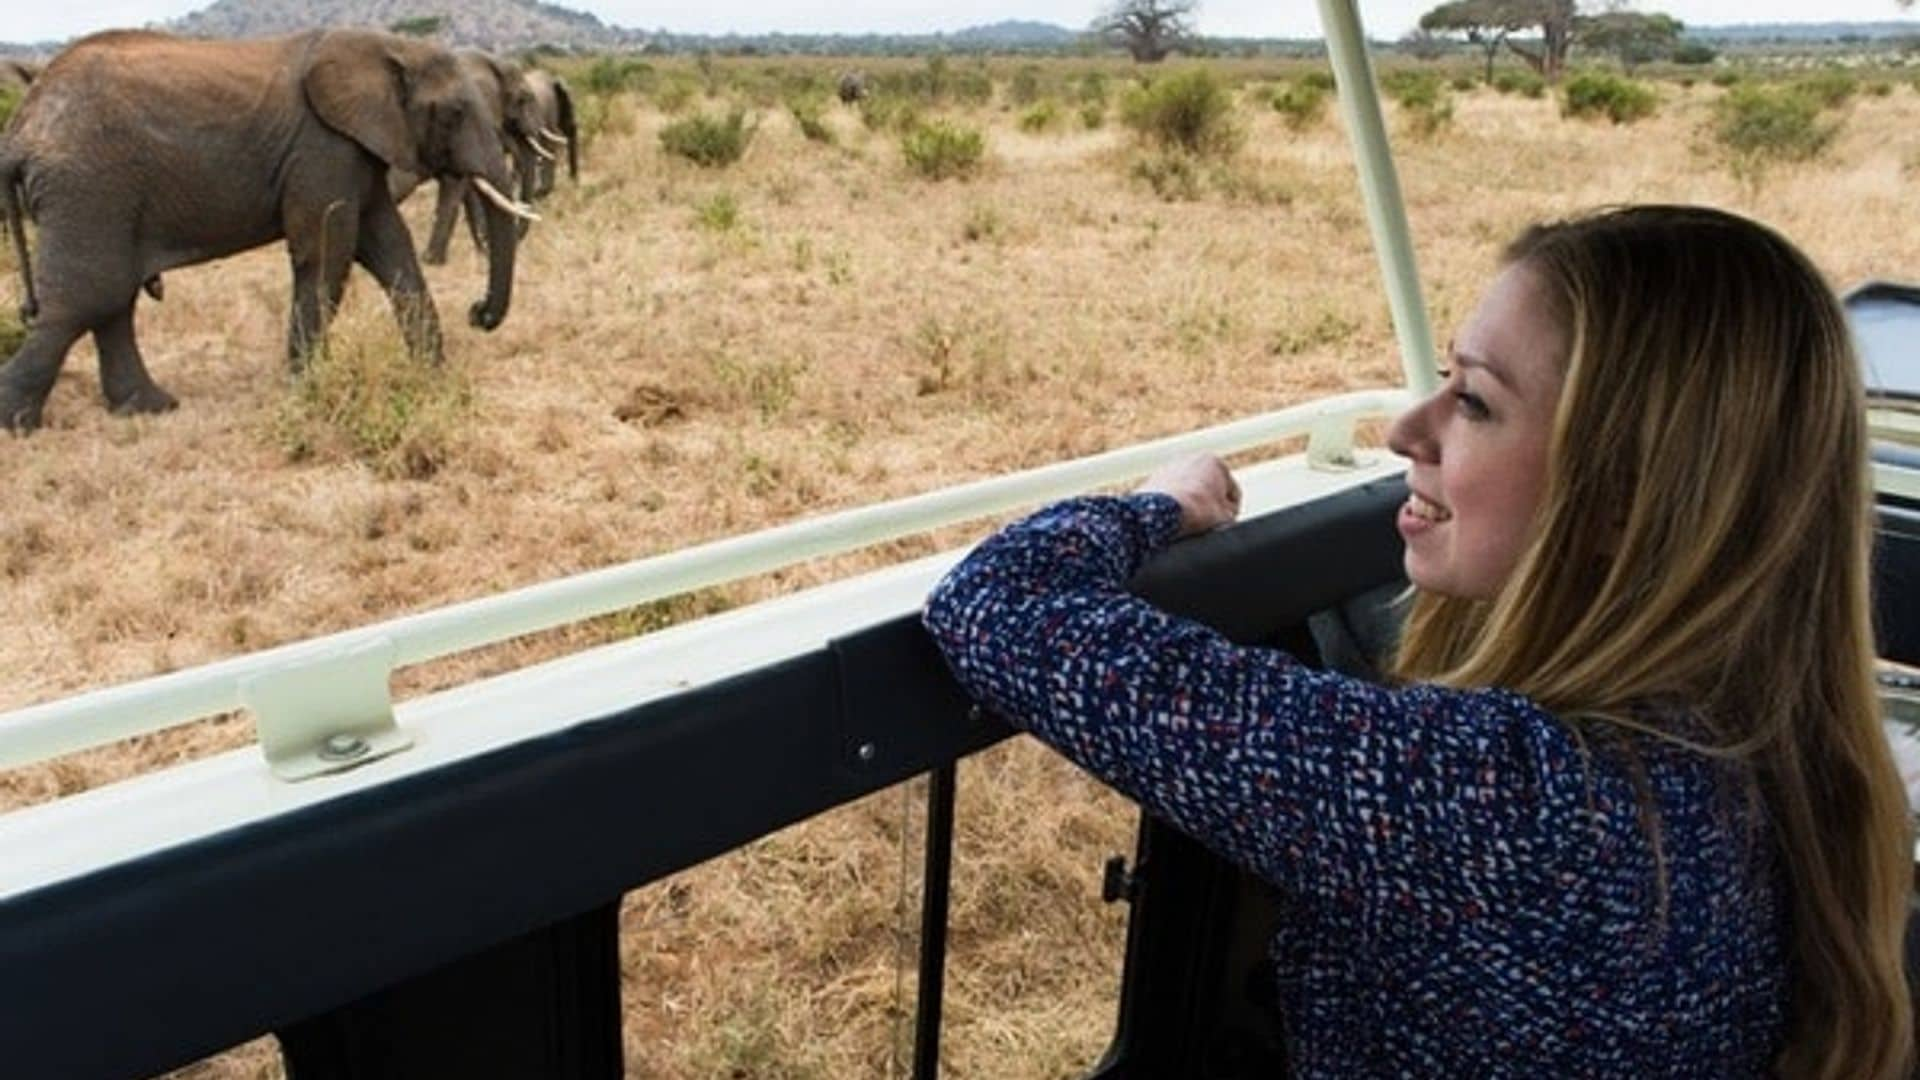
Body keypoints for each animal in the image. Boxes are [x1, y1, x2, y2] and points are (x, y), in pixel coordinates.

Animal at [0, 27, 537, 428]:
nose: (478, 313)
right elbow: (327, 255)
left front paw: (433, 376)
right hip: (89, 187)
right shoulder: (323, 147)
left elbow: (389, 246)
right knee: (89, 298)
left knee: (110, 301)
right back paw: (18, 424)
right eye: (455, 113)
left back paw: (152, 409)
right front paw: (308, 389)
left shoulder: (358, 147)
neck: (391, 47)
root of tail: (21, 128)